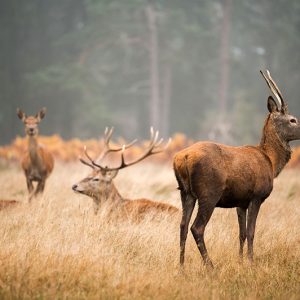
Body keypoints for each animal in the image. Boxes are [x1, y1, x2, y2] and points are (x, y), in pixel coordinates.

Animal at [172, 71, 300, 270]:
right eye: (292, 119)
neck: (271, 161)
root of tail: (182, 158)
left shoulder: (241, 201)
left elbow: (242, 233)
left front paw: (240, 261)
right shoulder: (257, 196)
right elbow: (252, 231)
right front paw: (251, 262)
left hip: (186, 193)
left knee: (182, 226)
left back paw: (182, 267)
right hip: (209, 192)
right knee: (196, 227)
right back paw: (211, 266)